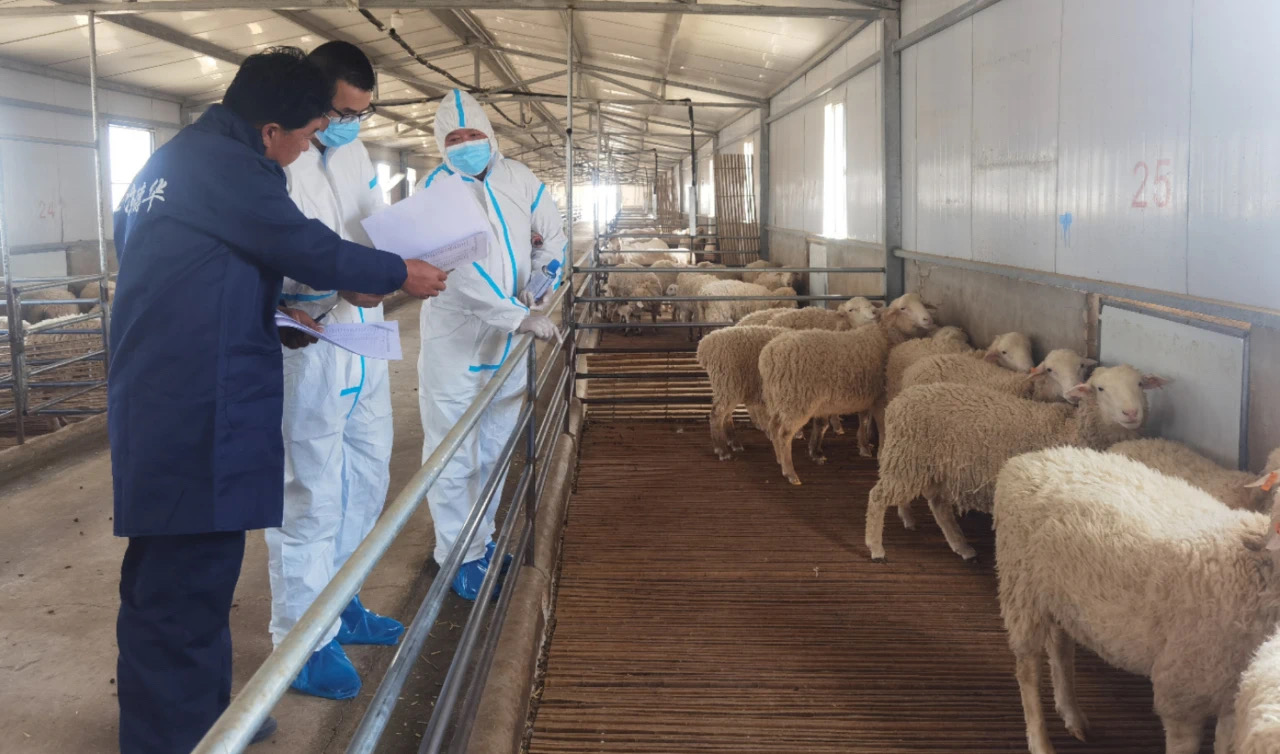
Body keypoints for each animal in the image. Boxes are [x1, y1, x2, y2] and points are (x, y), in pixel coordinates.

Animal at [696, 297, 882, 461]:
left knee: (728, 414)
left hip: (732, 385)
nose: (874, 312)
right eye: (851, 309)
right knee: (718, 414)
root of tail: (705, 346)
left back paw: (735, 442)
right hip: (730, 382)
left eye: (870, 303)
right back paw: (723, 450)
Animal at [758, 293, 934, 484]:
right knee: (784, 434)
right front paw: (880, 453)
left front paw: (864, 446)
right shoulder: (880, 396)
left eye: (922, 303)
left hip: (780, 399)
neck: (885, 335)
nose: (928, 319)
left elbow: (864, 419)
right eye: (903, 308)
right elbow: (882, 426)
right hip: (797, 401)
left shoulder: (867, 393)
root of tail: (769, 354)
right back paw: (790, 473)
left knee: (774, 426)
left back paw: (779, 459)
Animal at [865, 365, 1169, 562]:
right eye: (1100, 388)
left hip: (924, 464)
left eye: (1140, 384)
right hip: (907, 458)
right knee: (878, 497)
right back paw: (876, 547)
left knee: (937, 506)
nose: (1131, 412)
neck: (1071, 431)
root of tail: (901, 399)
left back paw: (958, 545)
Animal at [994, 446, 1280, 754]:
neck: (1251, 566)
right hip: (1021, 588)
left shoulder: (1231, 695)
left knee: (1060, 648)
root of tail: (1028, 458)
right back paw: (1039, 741)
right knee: (1027, 671)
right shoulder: (1182, 691)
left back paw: (1071, 713)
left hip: (1058, 595)